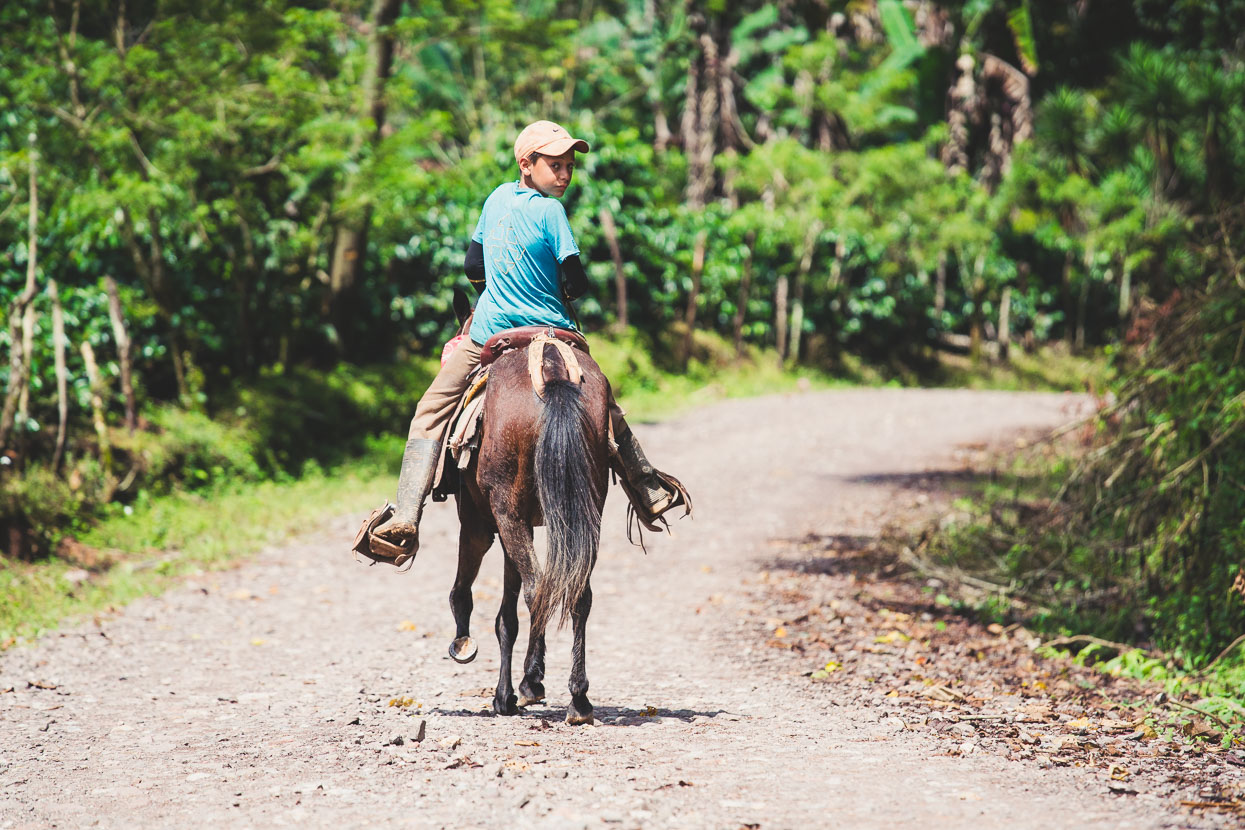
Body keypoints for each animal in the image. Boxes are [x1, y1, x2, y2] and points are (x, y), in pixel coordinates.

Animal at [445, 333, 610, 721]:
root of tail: (551, 367)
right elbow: (508, 615)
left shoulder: (481, 523)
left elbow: (485, 602)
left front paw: (504, 693)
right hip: (587, 510)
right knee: (578, 592)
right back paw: (579, 698)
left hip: (507, 514)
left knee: (538, 589)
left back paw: (531, 682)